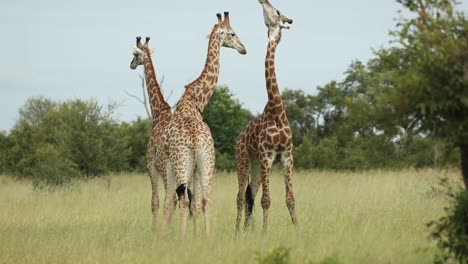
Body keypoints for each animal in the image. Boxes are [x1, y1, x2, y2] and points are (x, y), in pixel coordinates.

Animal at [161, 12, 247, 239]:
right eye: (233, 33)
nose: (244, 48)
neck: (195, 101)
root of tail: (193, 139)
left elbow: (183, 202)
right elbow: (196, 203)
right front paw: (196, 236)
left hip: (186, 164)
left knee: (183, 200)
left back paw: (182, 238)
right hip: (206, 162)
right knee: (203, 199)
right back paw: (205, 238)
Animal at [234, 0, 296, 235]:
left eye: (277, 11)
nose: (263, 0)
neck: (276, 110)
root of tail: (240, 137)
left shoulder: (287, 156)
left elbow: (290, 199)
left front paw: (298, 230)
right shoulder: (267, 156)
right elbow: (266, 200)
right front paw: (264, 234)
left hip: (255, 164)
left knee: (249, 195)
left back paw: (245, 231)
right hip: (244, 160)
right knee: (241, 197)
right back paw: (237, 232)